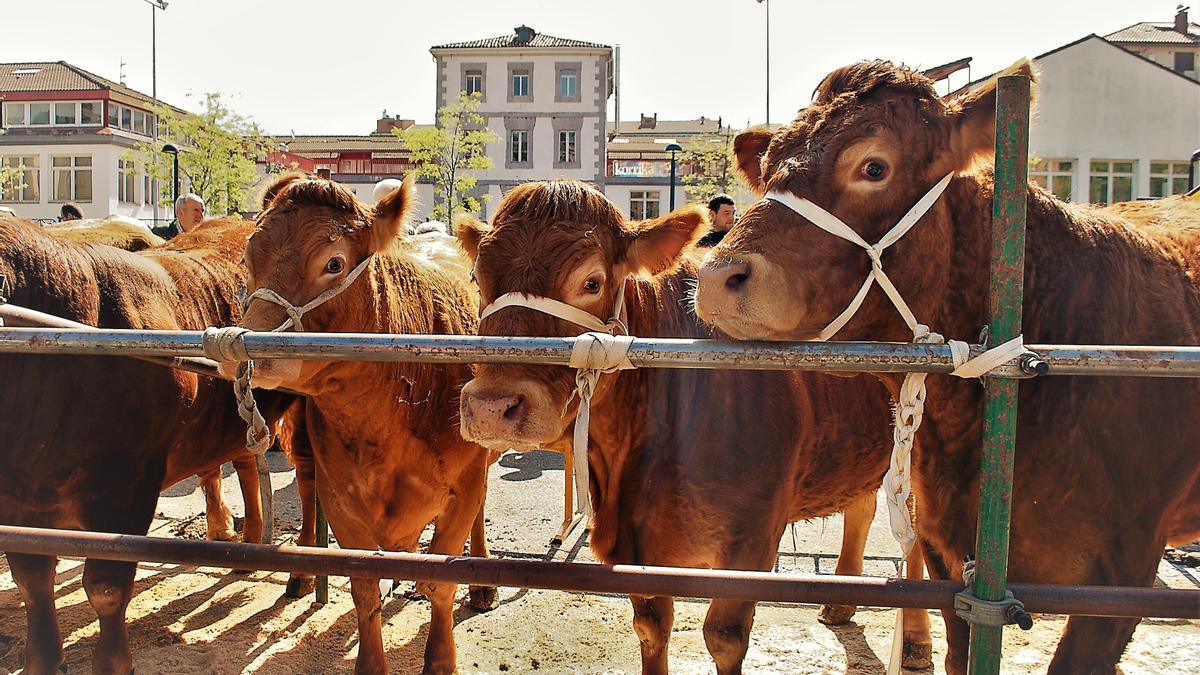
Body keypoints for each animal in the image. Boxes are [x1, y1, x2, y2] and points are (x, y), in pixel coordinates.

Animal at [0, 216, 300, 672]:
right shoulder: (19, 504)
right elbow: (32, 581)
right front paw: (43, 658)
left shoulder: (127, 490)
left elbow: (106, 587)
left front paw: (112, 661)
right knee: (245, 463)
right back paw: (248, 542)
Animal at [453, 180, 931, 672]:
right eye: (478, 279)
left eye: (592, 282)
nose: (491, 405)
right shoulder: (637, 549)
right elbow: (651, 627)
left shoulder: (754, 541)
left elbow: (724, 637)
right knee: (862, 507)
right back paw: (840, 602)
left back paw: (915, 641)